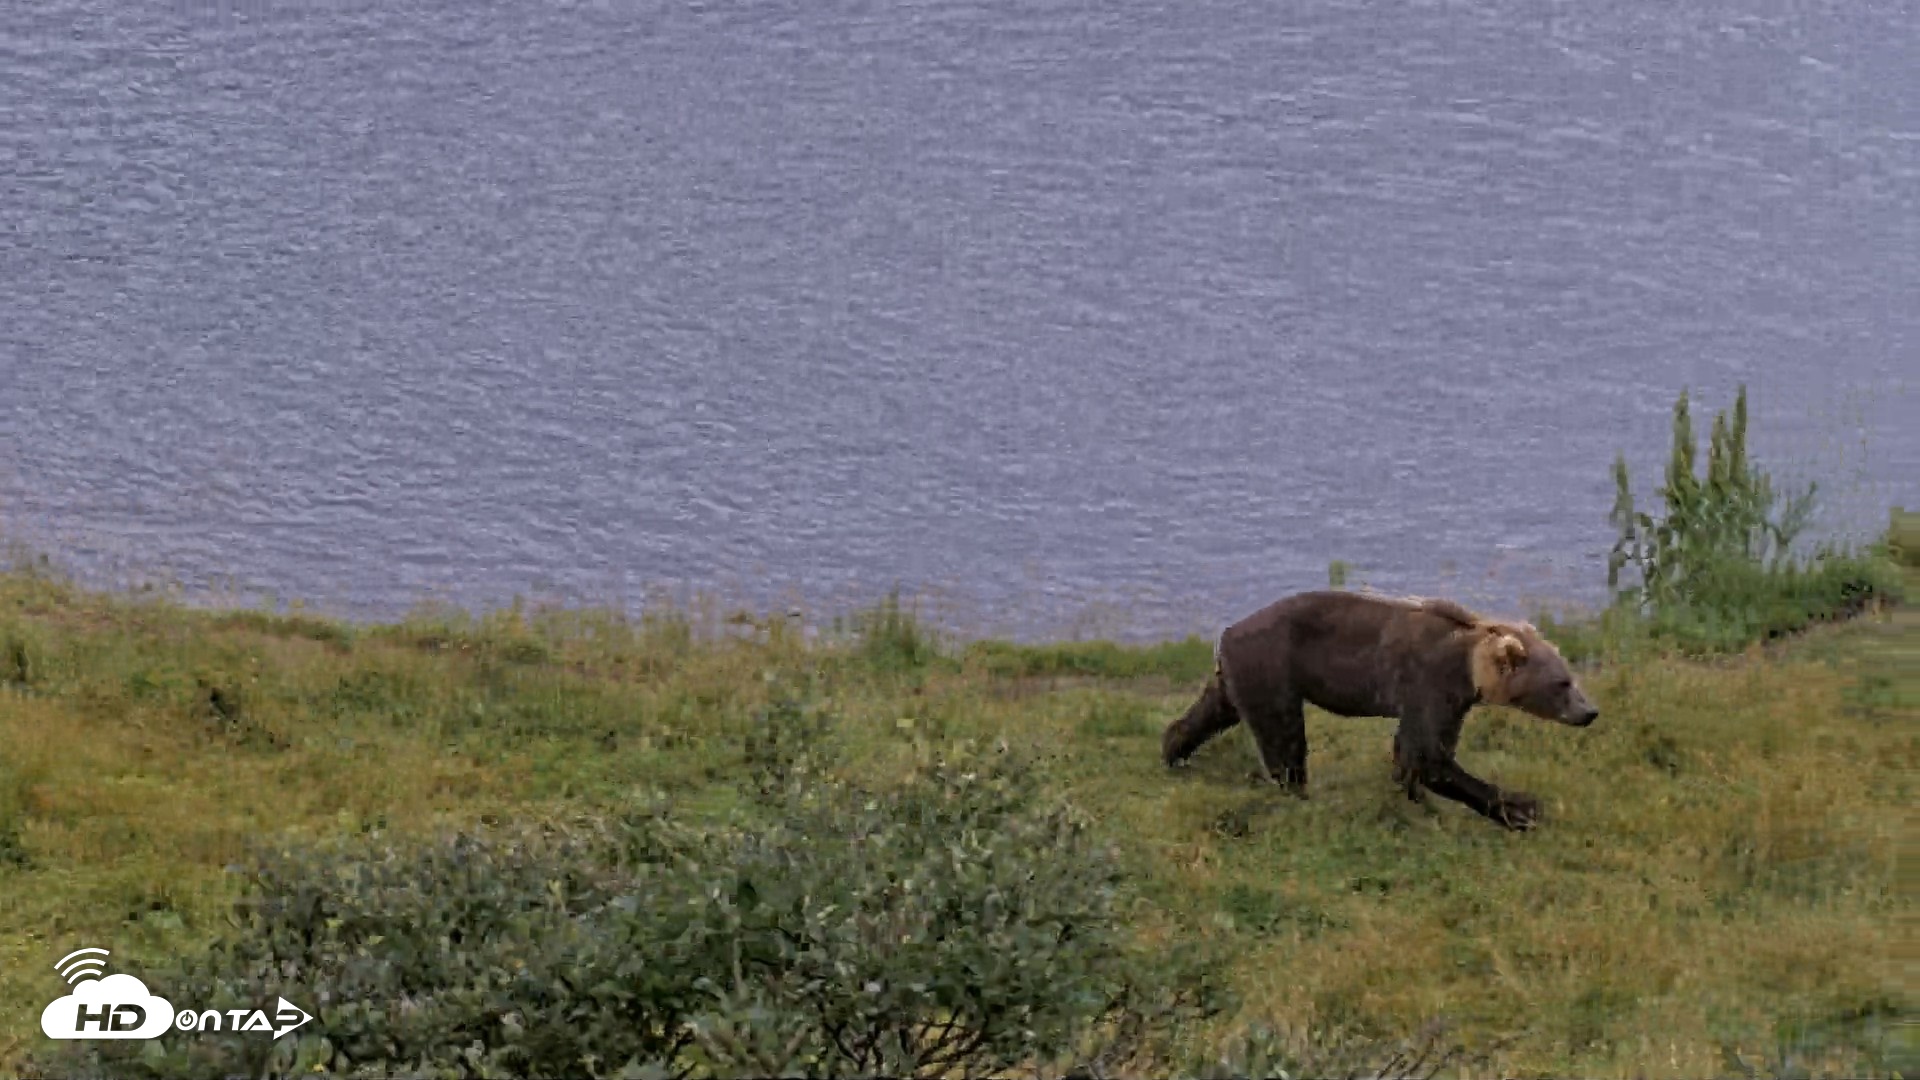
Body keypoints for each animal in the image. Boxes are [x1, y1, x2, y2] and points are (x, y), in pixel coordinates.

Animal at [1160, 590, 1599, 830]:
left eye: (1571, 676)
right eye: (1562, 683)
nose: (1590, 711)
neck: (1472, 668)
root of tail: (1226, 632)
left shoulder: (1452, 701)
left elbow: (1417, 752)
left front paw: (1414, 796)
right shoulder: (1429, 681)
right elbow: (1428, 755)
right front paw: (1523, 808)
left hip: (1239, 676)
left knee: (1214, 711)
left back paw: (1174, 751)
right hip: (1275, 666)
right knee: (1284, 737)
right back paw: (1300, 792)